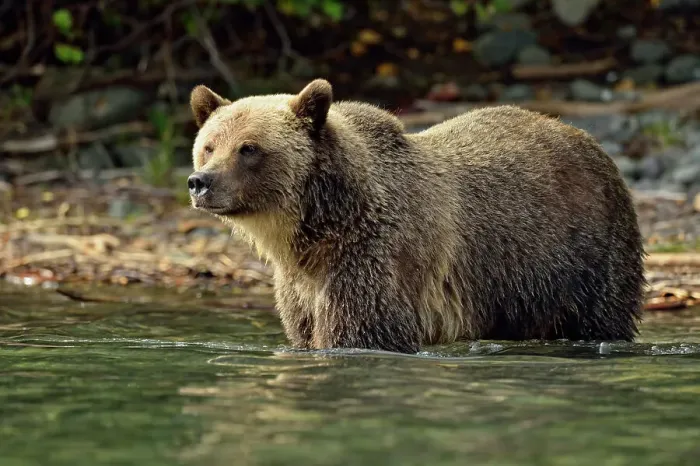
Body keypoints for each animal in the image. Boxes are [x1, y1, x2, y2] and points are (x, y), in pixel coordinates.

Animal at [187, 78, 646, 354]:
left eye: (249, 148)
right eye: (209, 145)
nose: (199, 182)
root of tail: (584, 137)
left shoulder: (374, 258)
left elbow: (361, 330)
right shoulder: (301, 286)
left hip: (585, 252)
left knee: (600, 316)